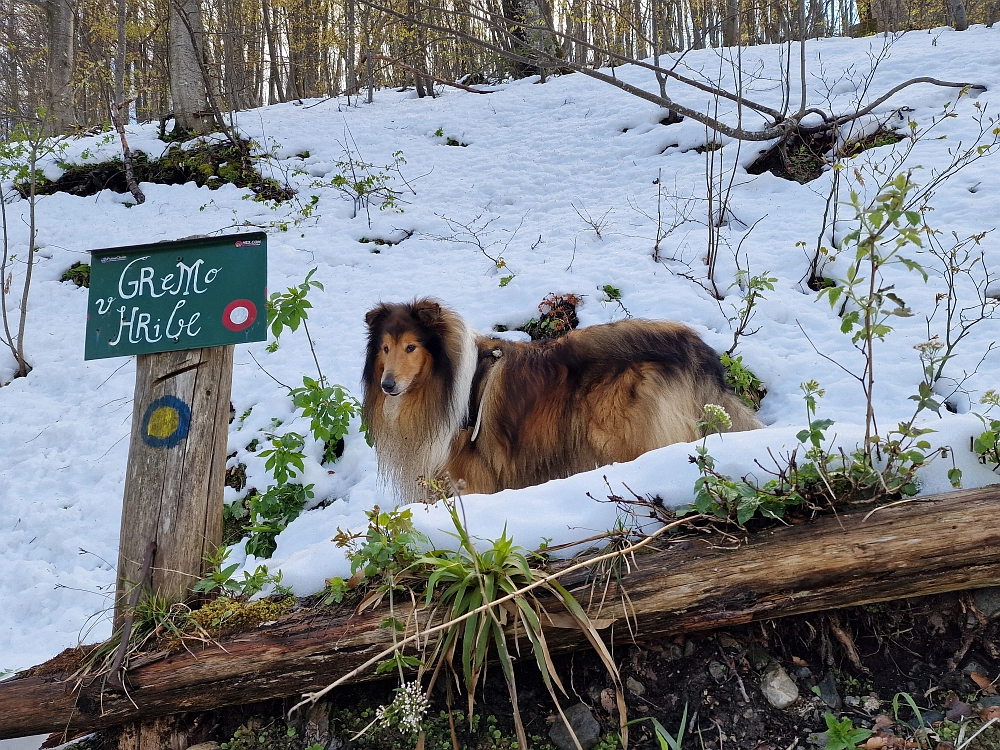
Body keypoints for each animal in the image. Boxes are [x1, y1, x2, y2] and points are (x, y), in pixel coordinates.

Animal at [364, 300, 760, 506]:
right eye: (385, 348)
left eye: (411, 347)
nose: (388, 385)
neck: (444, 382)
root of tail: (695, 346)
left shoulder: (471, 477)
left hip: (627, 433)